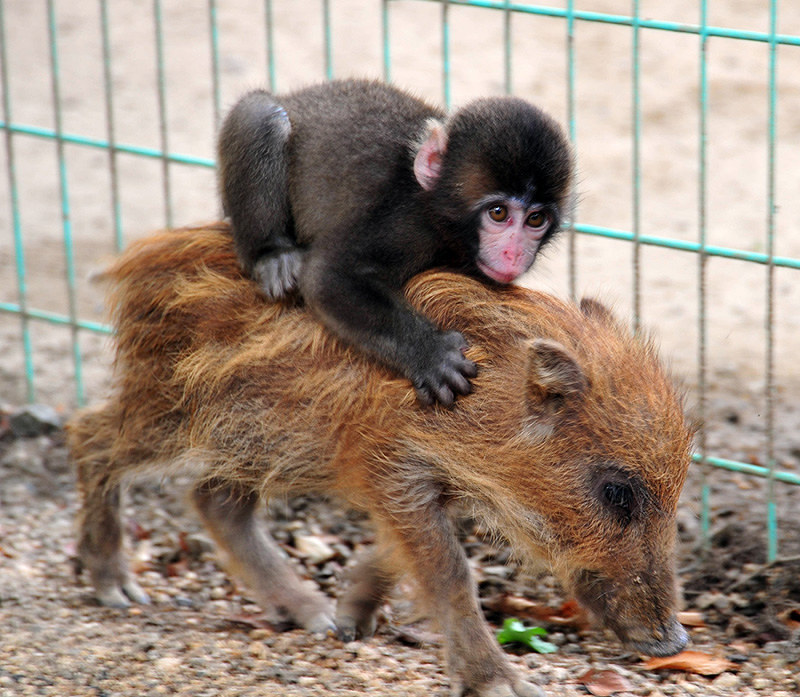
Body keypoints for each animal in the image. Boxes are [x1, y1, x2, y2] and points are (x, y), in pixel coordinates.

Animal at [217, 79, 573, 406]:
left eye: (535, 219)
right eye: (498, 213)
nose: (514, 254)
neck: (436, 211)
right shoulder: (404, 224)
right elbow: (327, 277)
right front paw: (430, 353)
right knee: (263, 115)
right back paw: (272, 254)